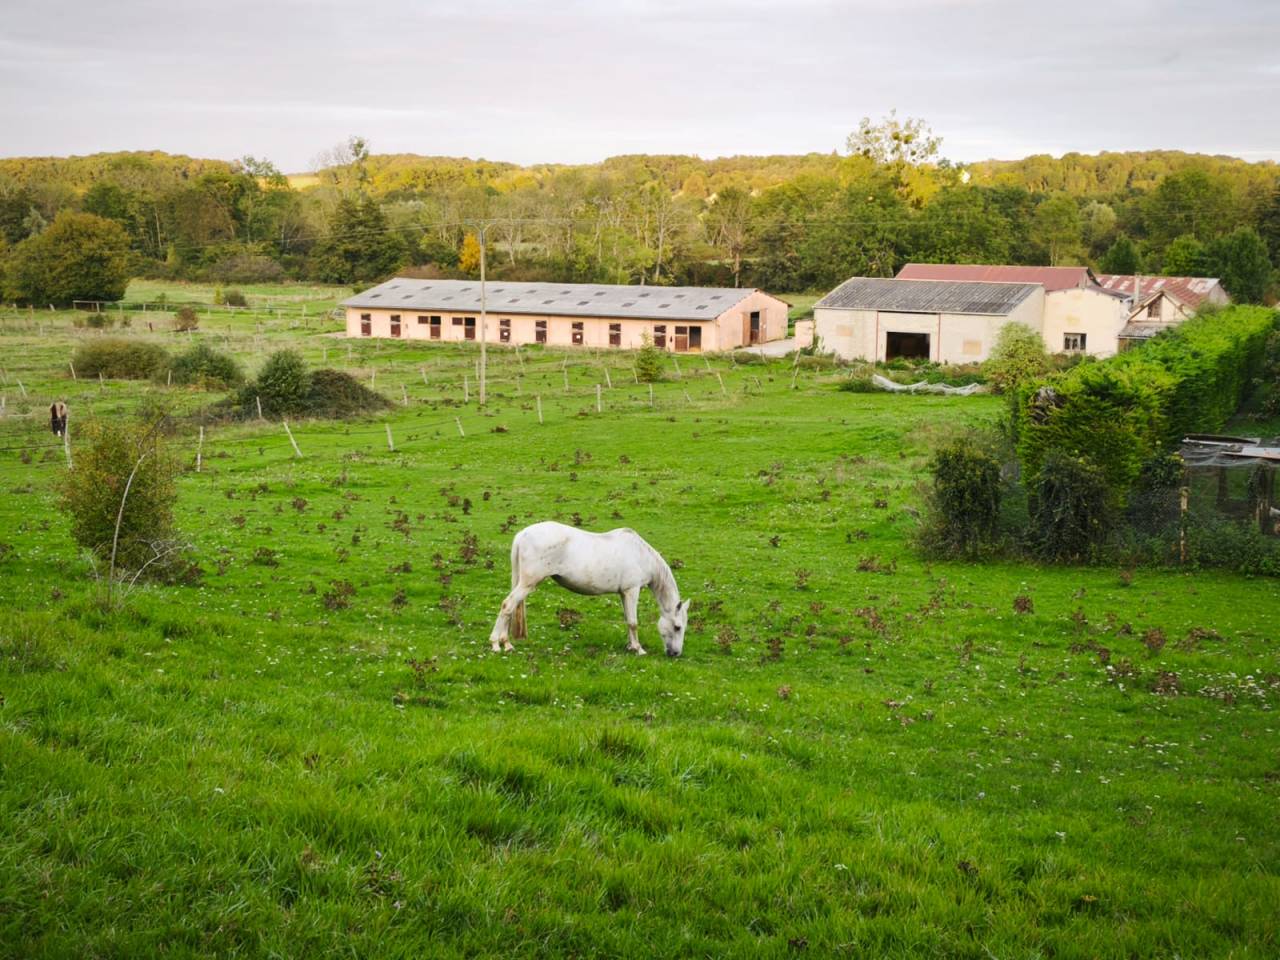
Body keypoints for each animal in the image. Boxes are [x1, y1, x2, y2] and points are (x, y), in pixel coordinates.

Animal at [489, 521, 689, 657]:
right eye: (678, 627)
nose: (675, 653)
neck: (641, 555)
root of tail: (523, 534)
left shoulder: (623, 593)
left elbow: (627, 620)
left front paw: (630, 646)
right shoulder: (632, 590)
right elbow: (633, 622)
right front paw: (639, 649)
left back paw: (506, 644)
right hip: (528, 583)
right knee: (507, 606)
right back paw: (496, 644)